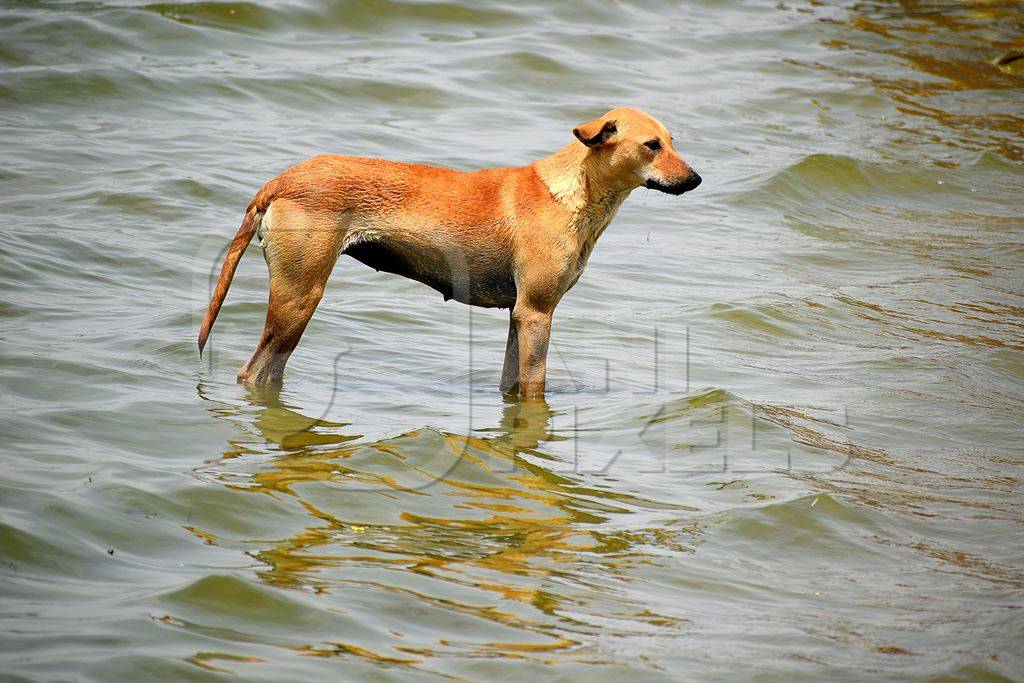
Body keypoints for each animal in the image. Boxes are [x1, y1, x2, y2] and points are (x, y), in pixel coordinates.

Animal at [196, 105, 700, 395]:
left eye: (673, 141)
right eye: (651, 145)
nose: (695, 179)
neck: (573, 191)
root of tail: (281, 180)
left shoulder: (519, 317)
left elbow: (511, 383)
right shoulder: (538, 313)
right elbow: (535, 388)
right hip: (299, 298)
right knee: (253, 373)